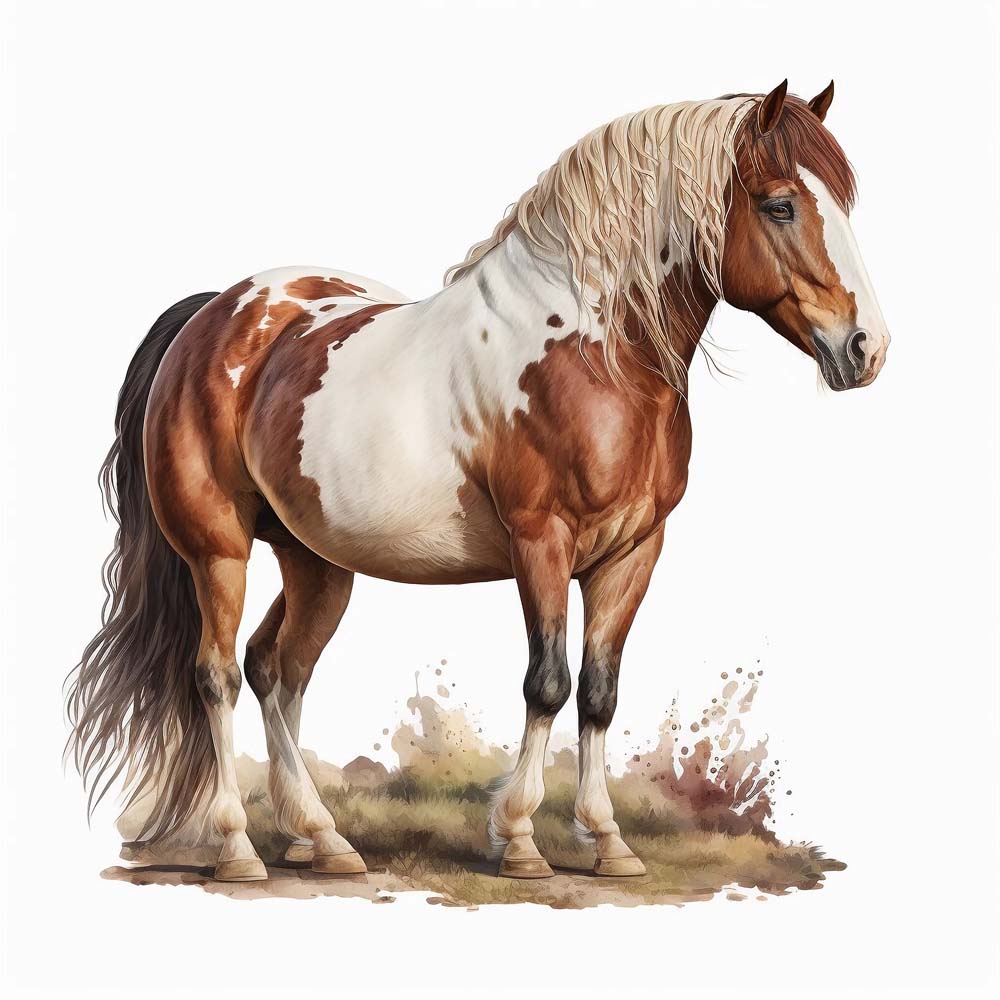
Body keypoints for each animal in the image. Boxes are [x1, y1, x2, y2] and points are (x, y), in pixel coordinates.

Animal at [66, 81, 889, 882]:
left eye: (845, 202)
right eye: (780, 204)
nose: (866, 348)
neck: (591, 351)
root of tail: (213, 315)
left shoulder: (633, 552)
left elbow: (599, 691)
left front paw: (609, 844)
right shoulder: (541, 541)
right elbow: (548, 682)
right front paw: (520, 841)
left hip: (316, 562)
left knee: (278, 669)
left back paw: (316, 841)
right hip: (220, 552)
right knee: (217, 676)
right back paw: (240, 850)